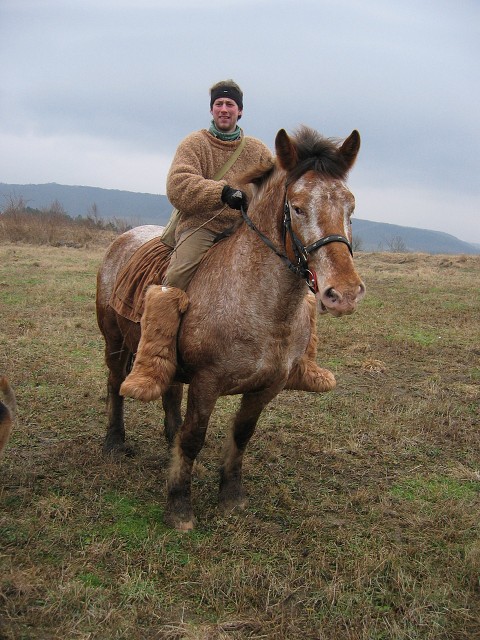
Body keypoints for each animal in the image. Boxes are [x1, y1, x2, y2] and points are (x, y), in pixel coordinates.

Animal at [95, 125, 366, 528]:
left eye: (350, 207)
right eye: (297, 207)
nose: (344, 293)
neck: (258, 306)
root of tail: (125, 238)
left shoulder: (267, 386)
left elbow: (241, 434)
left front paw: (231, 497)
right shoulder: (206, 382)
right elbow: (194, 437)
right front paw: (179, 506)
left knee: (169, 391)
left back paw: (168, 441)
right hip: (114, 340)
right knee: (116, 383)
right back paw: (114, 442)